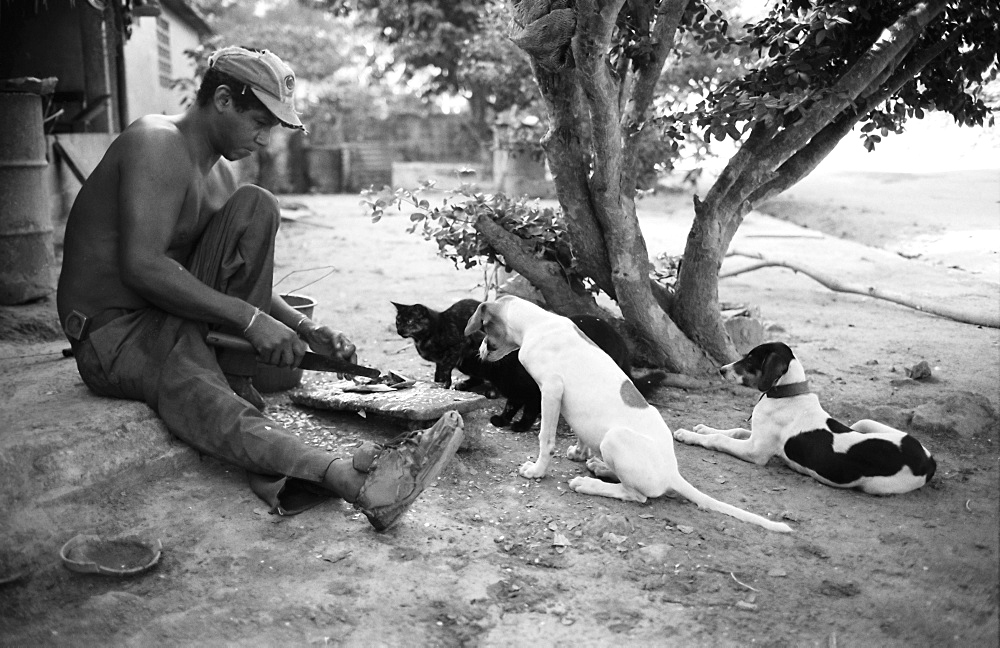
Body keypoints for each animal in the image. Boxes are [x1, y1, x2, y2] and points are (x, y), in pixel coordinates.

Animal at [464, 296, 792, 536]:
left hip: (614, 439)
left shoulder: (551, 391)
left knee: (637, 495)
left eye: (485, 331)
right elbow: (580, 432)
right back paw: (598, 466)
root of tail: (673, 473)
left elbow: (546, 438)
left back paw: (590, 484)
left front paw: (536, 471)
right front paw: (580, 452)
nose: (480, 352)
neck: (537, 323)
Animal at [672, 342, 936, 494]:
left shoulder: (755, 451)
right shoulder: (757, 436)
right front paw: (703, 428)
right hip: (864, 424)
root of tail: (929, 460)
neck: (787, 393)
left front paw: (688, 435)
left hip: (876, 485)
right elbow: (733, 430)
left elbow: (720, 440)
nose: (721, 370)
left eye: (750, 359)